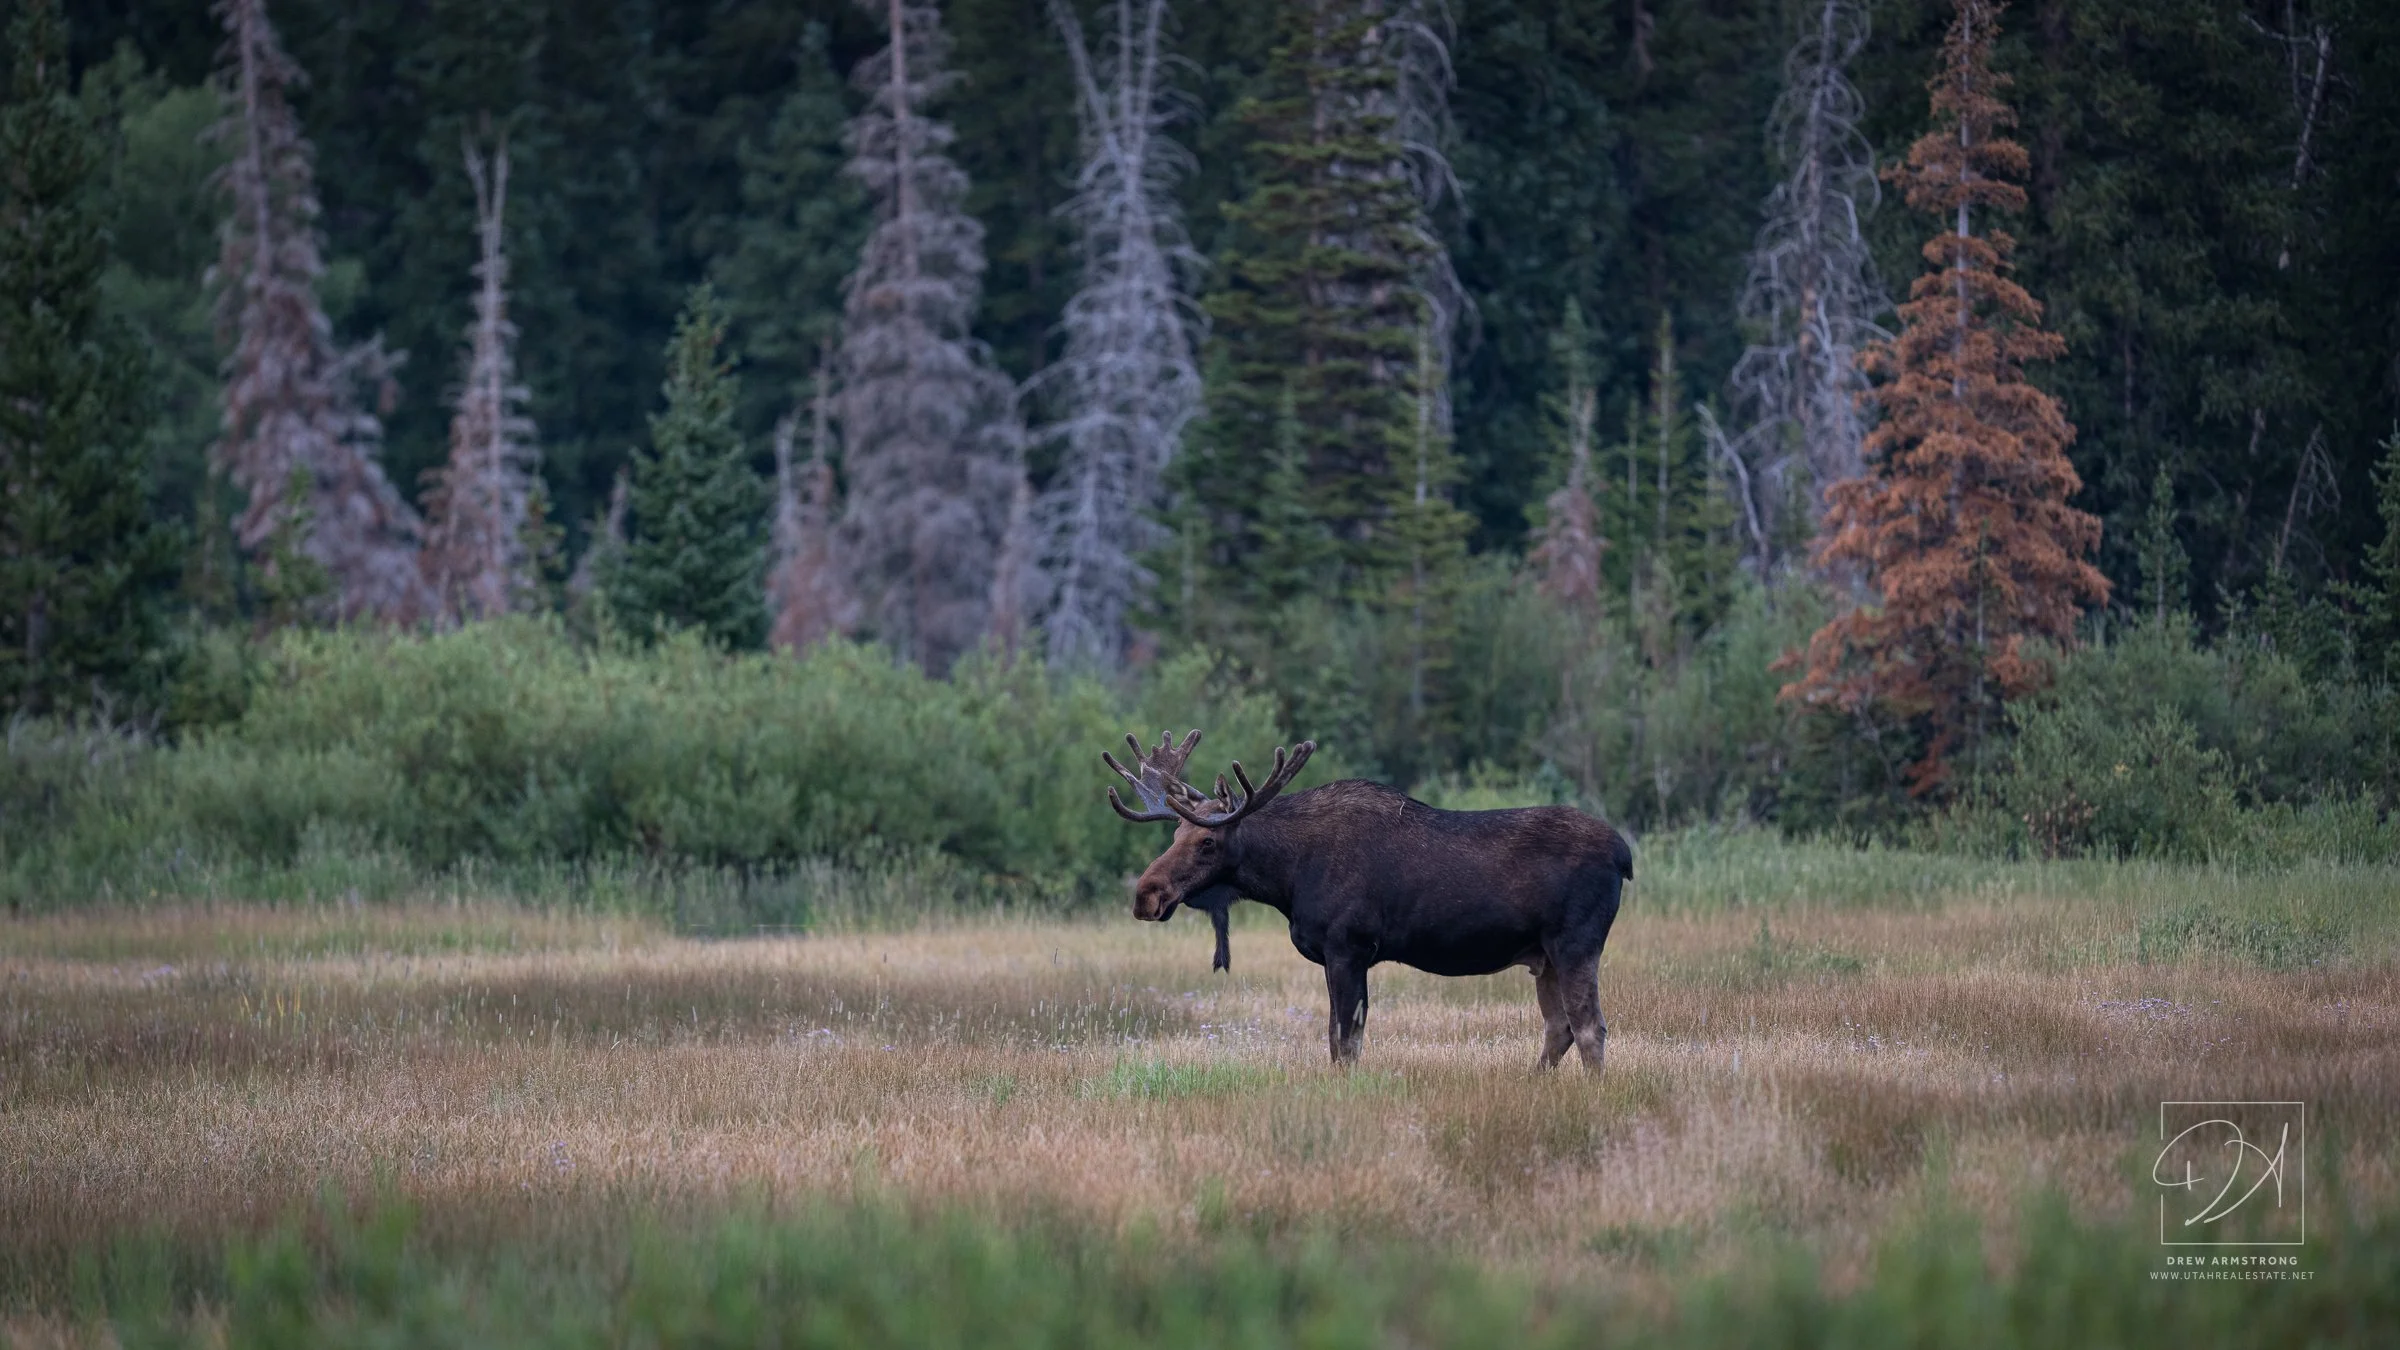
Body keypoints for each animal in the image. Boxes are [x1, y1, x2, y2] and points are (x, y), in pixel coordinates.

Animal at [1104, 730, 1633, 1070]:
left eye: (1207, 841)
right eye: (1175, 832)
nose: (1146, 895)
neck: (1287, 878)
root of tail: (1623, 855)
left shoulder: (1349, 947)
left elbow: (1345, 1042)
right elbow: (1335, 1038)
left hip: (1575, 942)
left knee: (1590, 1027)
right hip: (1542, 956)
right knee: (1559, 1028)